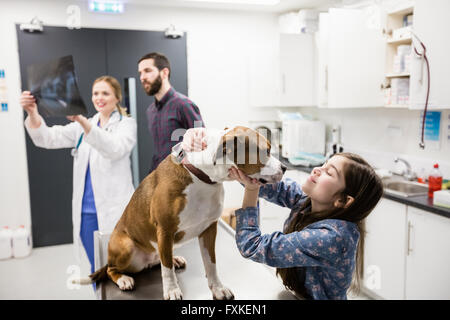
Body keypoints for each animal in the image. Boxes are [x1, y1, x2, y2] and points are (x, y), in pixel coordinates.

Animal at [74, 125, 284, 300]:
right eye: (266, 151)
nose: (284, 167)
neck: (201, 176)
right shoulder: (165, 231)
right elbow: (167, 271)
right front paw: (172, 290)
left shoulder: (209, 229)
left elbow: (211, 264)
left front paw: (217, 288)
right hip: (126, 246)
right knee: (113, 269)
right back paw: (123, 278)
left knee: (161, 258)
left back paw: (173, 259)